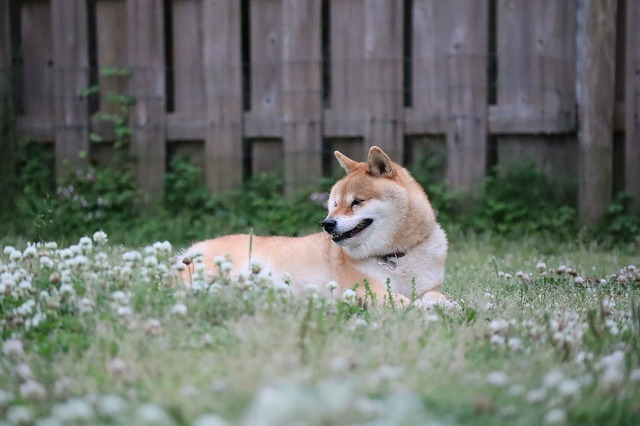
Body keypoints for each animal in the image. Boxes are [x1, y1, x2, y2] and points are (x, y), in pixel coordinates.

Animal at [182, 146, 448, 307]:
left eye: (357, 202)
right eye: (334, 204)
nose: (327, 223)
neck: (395, 255)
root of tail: (188, 252)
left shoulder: (429, 285)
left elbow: (437, 295)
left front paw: (447, 305)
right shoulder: (370, 290)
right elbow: (406, 303)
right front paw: (426, 310)